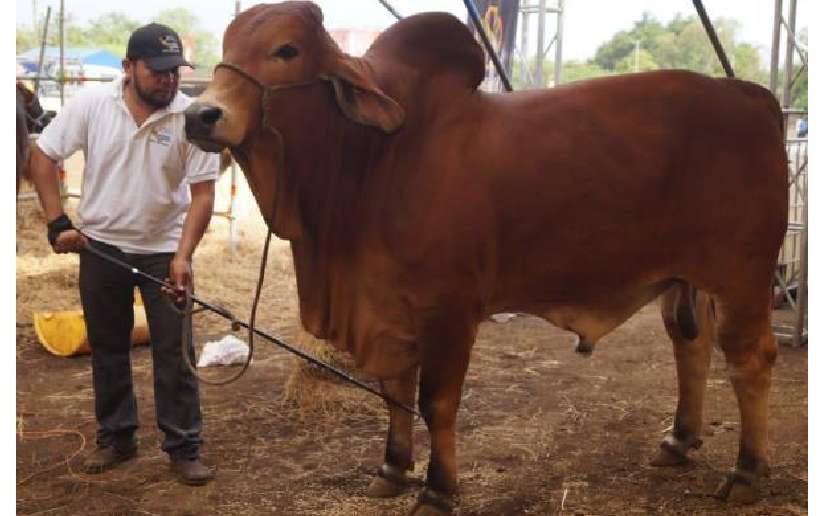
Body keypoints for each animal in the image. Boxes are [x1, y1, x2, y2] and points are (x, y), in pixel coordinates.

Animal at [183, 3, 788, 512]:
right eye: (228, 43)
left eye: (286, 49)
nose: (199, 116)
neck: (375, 159)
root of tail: (754, 97)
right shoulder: (387, 308)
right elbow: (394, 392)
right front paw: (392, 469)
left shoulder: (449, 310)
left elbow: (436, 401)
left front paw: (437, 489)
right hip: (685, 277)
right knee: (691, 345)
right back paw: (680, 440)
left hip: (743, 276)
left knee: (751, 360)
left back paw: (746, 472)